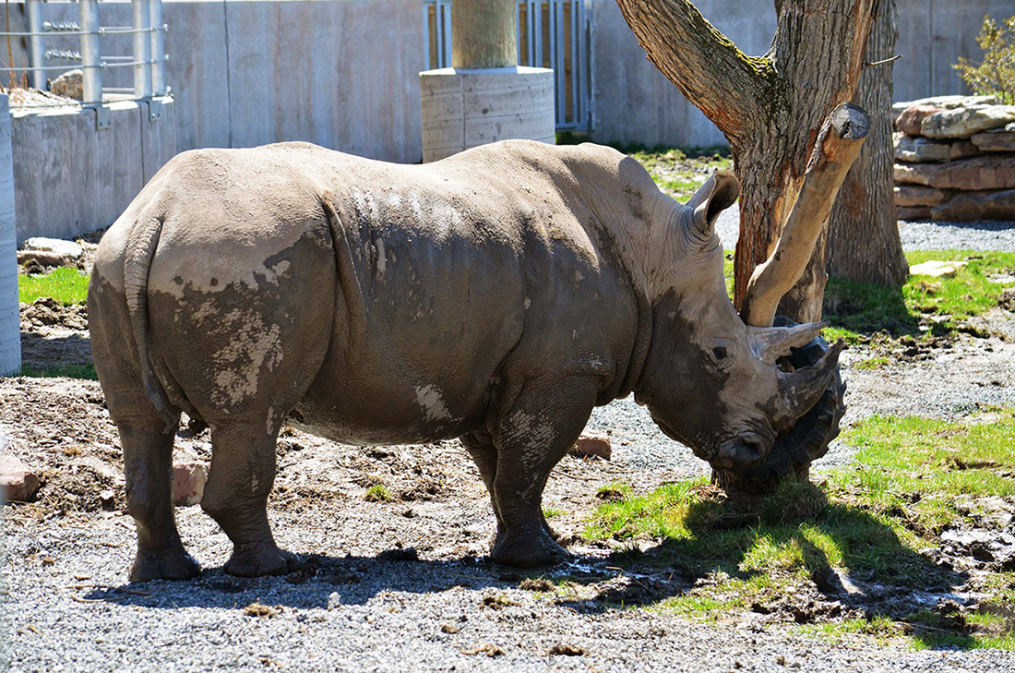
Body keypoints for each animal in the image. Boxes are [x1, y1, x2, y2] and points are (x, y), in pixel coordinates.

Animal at [88, 140, 842, 581]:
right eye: (718, 354)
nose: (753, 456)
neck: (653, 252)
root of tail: (155, 214)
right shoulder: (562, 370)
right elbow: (530, 460)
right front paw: (542, 560)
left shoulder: (495, 372)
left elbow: (502, 467)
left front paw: (531, 545)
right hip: (244, 254)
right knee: (253, 416)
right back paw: (274, 570)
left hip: (122, 261)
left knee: (141, 423)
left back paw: (169, 575)